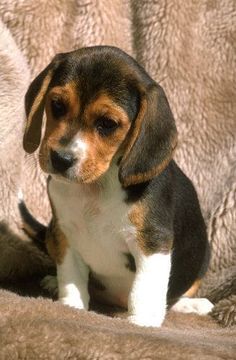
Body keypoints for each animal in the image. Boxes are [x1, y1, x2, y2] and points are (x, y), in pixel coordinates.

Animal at [23, 45, 213, 326]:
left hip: (202, 256)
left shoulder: (152, 242)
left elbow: (144, 289)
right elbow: (72, 277)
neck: (98, 185)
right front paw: (70, 306)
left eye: (107, 124)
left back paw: (192, 305)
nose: (61, 159)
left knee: (175, 294)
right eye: (57, 105)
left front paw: (142, 322)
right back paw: (52, 282)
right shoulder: (64, 232)